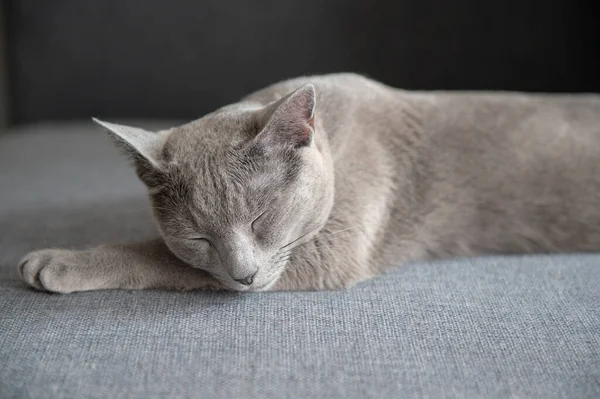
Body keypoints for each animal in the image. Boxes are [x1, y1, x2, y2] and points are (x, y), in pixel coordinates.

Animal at [16, 74, 600, 294]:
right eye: (198, 236)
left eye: (262, 220)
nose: (245, 275)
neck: (334, 138)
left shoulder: (329, 248)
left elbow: (157, 256)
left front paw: (58, 262)